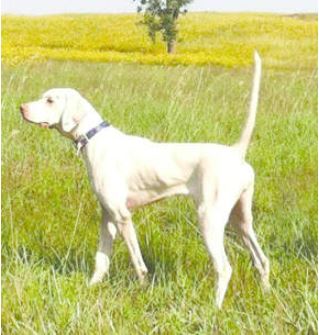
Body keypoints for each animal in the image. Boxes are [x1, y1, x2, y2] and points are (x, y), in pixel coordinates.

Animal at [20, 51, 270, 308]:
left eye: (50, 100)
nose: (21, 108)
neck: (95, 139)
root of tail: (236, 152)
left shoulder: (122, 216)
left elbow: (138, 262)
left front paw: (142, 290)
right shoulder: (107, 216)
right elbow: (101, 260)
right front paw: (90, 288)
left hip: (209, 219)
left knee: (224, 268)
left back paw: (215, 308)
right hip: (240, 220)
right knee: (262, 260)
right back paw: (267, 294)